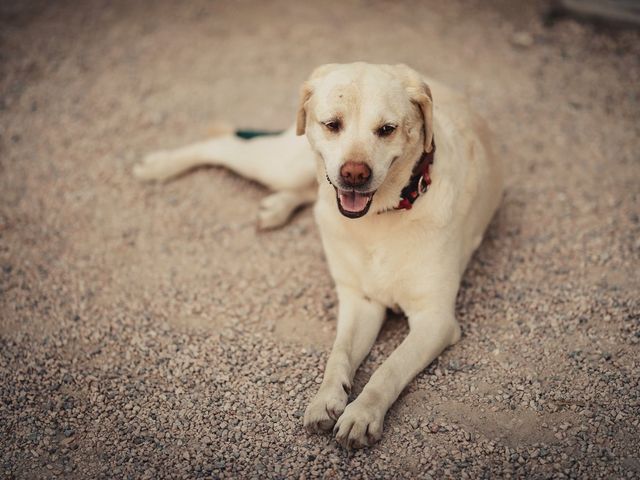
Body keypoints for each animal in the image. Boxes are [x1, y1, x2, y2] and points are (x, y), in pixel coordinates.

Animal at [134, 62, 504, 448]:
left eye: (386, 130)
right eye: (332, 124)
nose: (354, 174)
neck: (379, 219)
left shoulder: (435, 319)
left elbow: (389, 368)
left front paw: (360, 414)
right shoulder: (359, 301)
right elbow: (338, 354)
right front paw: (326, 399)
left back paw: (276, 207)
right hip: (283, 163)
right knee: (223, 144)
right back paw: (158, 165)